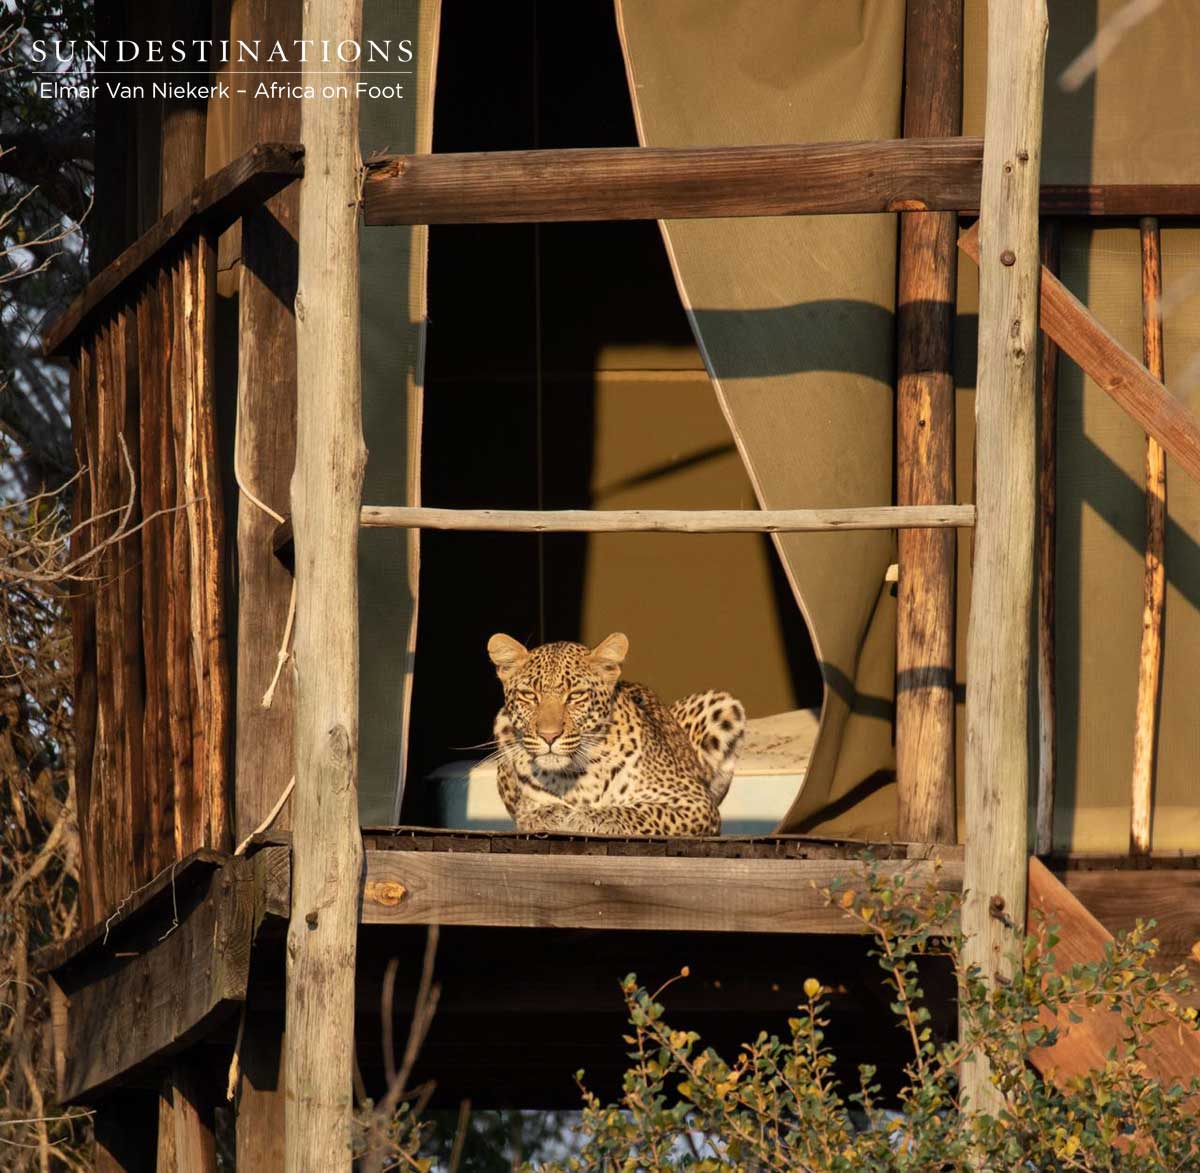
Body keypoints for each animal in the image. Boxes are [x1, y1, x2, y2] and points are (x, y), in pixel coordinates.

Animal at [486, 631, 746, 836]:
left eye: (576, 695)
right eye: (529, 695)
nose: (549, 736)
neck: (575, 776)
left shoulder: (693, 802)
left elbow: (641, 810)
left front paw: (589, 817)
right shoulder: (526, 805)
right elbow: (530, 812)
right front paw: (548, 814)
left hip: (721, 705)